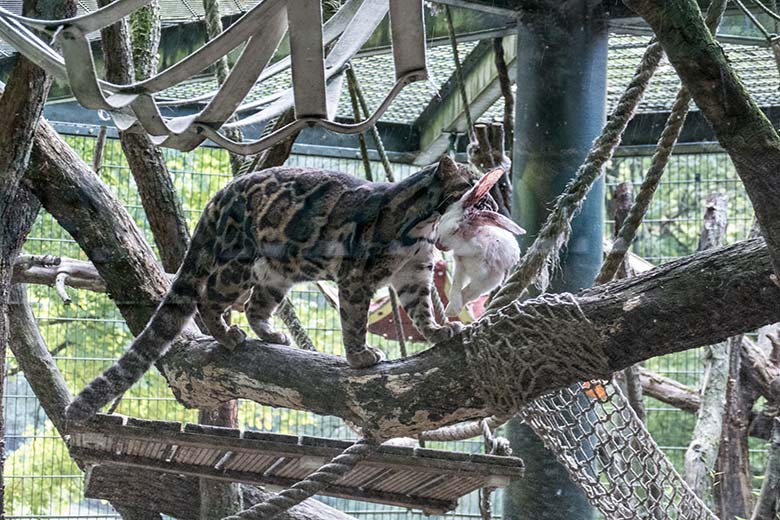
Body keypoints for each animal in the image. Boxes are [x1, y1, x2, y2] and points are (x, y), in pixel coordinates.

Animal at [67, 155, 478, 422]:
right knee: (208, 297)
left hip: (278, 272)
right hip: (239, 263)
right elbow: (354, 321)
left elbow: (421, 309)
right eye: (469, 181)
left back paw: (270, 335)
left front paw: (438, 331)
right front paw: (359, 356)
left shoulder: (415, 273)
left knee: (255, 306)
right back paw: (227, 336)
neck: (422, 227)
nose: (486, 189)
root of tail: (219, 196)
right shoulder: (356, 277)